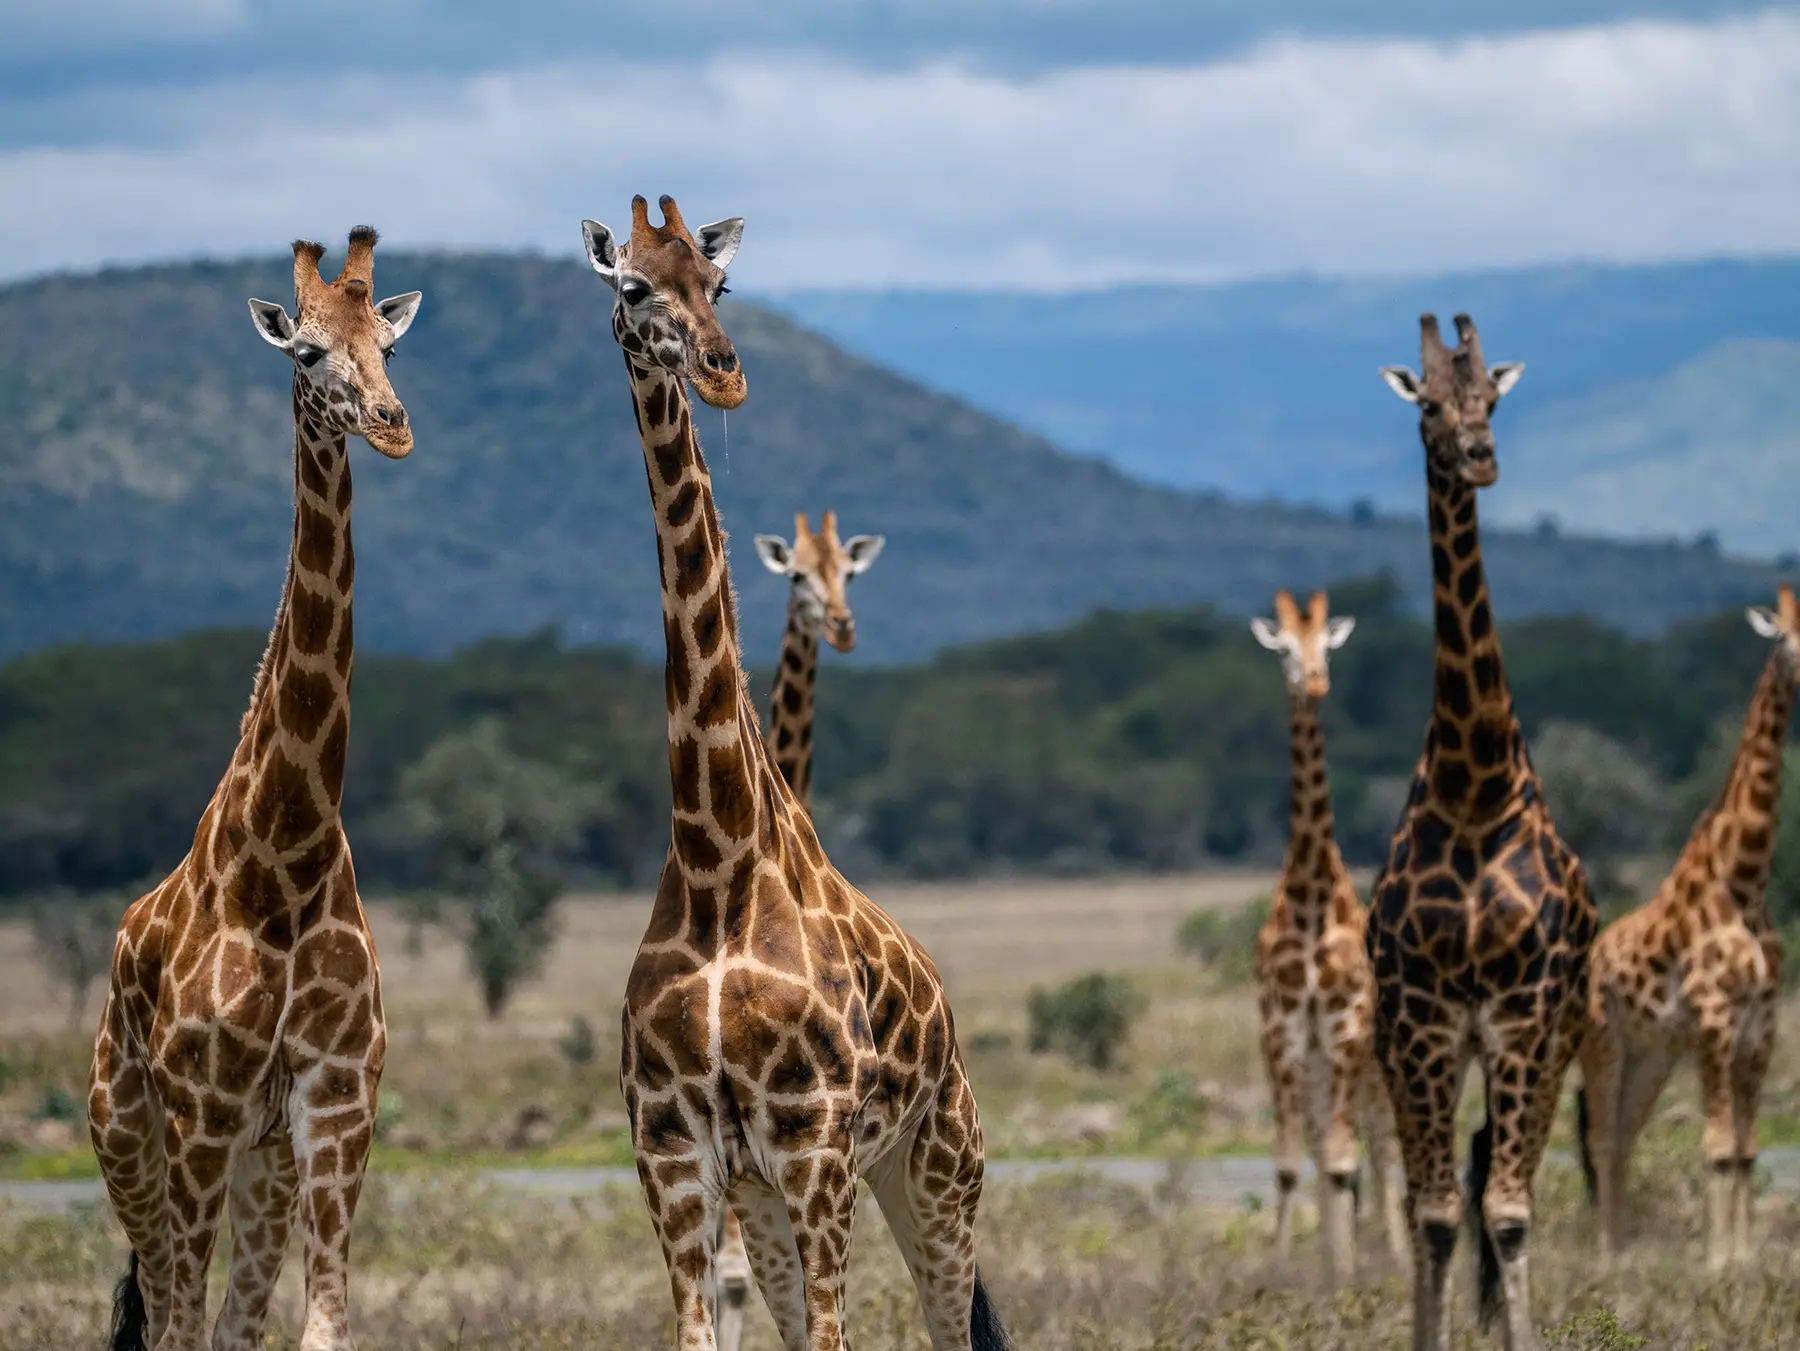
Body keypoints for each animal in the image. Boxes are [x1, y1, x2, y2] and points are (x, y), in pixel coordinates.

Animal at [87, 228, 420, 1351]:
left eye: (389, 346)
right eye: (307, 351)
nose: (393, 424)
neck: (286, 853)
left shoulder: (335, 1102)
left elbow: (318, 1327)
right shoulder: (202, 1112)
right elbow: (180, 1329)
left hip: (260, 1168)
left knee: (230, 1320)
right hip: (128, 1138)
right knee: (164, 1313)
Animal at [1578, 586, 1793, 1269]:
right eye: (1785, 635)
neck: (1745, 882)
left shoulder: (1760, 1026)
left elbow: (1746, 1150)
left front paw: (1745, 1259)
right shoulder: (1715, 1017)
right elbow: (1719, 1147)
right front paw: (1719, 1262)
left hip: (1655, 1053)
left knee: (1623, 1135)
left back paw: (1620, 1250)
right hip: (1604, 1042)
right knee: (1601, 1139)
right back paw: (1604, 1255)